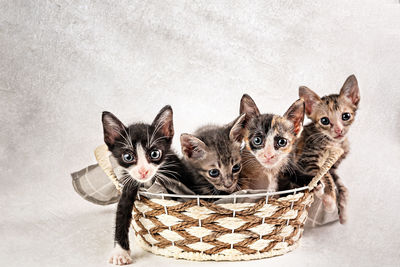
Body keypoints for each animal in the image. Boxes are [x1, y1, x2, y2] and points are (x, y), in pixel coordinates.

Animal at [103, 106, 191, 266]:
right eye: (128, 157)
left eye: (155, 153)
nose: (143, 171)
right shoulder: (130, 183)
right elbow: (122, 212)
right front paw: (120, 252)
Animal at [296, 74, 360, 225]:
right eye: (324, 121)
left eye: (346, 116)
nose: (338, 130)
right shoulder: (306, 159)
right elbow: (325, 175)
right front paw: (330, 201)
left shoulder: (333, 166)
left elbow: (342, 186)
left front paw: (343, 212)